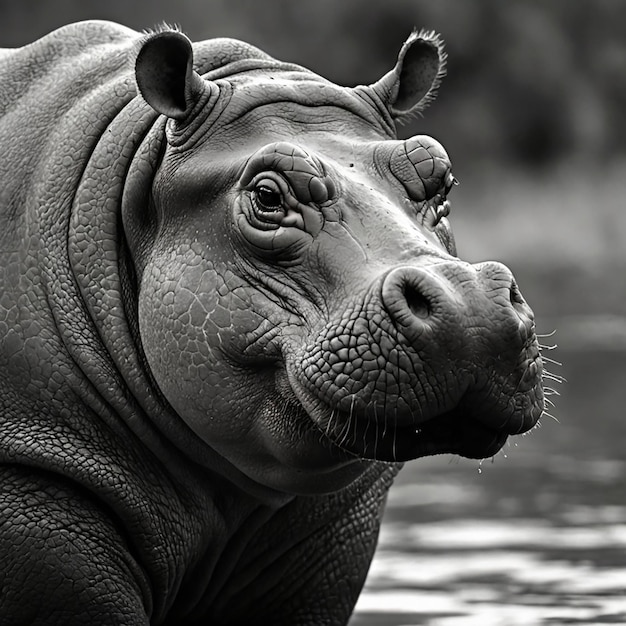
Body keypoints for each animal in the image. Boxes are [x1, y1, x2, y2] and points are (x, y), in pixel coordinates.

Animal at [0, 19, 540, 624]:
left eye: (441, 180)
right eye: (265, 196)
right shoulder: (44, 480)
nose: (472, 308)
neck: (139, 163)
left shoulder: (326, 540)